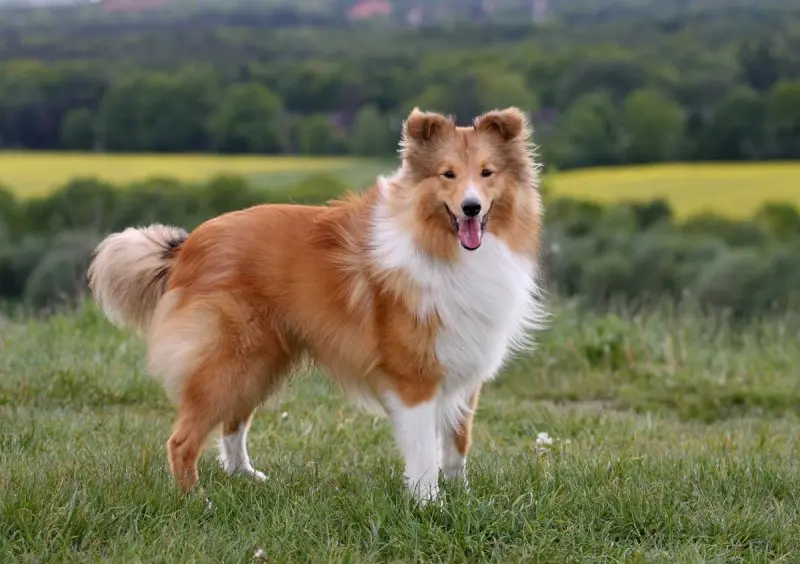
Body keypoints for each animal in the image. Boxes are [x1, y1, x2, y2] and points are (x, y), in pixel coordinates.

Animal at [89, 107, 552, 502]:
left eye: (487, 173)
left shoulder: (464, 367)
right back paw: (197, 501)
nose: (471, 208)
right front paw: (429, 505)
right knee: (182, 440)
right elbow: (423, 452)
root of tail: (187, 247)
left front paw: (463, 497)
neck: (442, 246)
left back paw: (248, 478)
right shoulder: (414, 377)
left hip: (259, 363)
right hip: (229, 360)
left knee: (233, 424)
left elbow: (457, 444)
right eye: (447, 174)